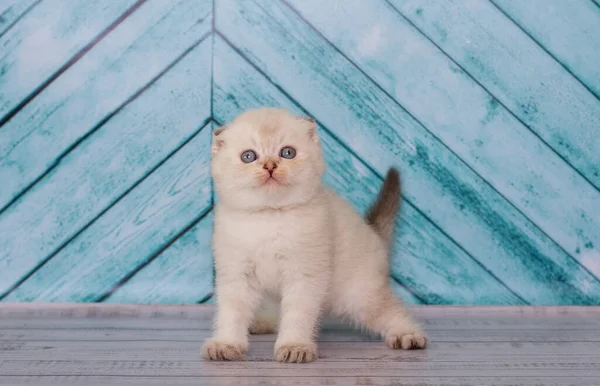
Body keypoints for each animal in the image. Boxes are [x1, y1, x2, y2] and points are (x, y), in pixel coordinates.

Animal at [203, 108, 426, 362]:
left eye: (287, 153)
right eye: (248, 156)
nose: (270, 166)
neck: (269, 216)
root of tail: (373, 232)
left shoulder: (304, 274)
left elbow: (297, 315)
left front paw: (294, 346)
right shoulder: (236, 274)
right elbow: (232, 313)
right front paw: (226, 344)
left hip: (361, 295)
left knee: (391, 310)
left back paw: (407, 334)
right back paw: (263, 322)